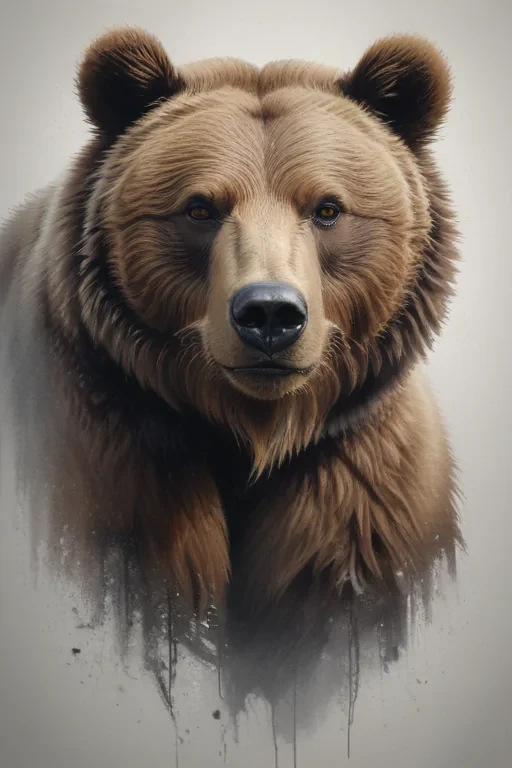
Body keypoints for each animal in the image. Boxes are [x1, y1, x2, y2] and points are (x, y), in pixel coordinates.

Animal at [0, 28, 462, 636]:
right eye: (199, 208)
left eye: (328, 208)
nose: (269, 313)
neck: (254, 434)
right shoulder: (105, 450)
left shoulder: (363, 477)